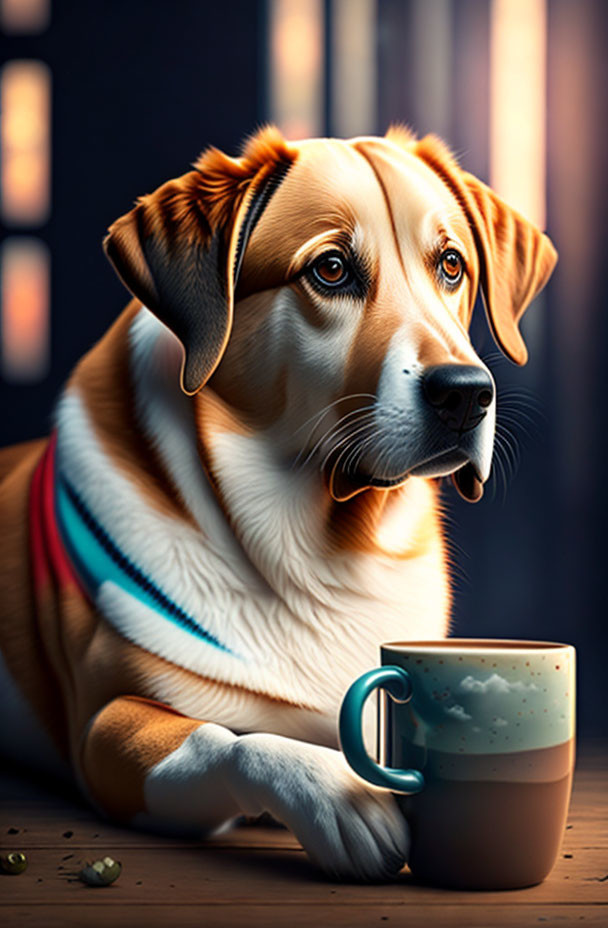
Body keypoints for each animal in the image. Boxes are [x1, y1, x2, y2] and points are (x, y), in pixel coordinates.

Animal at [0, 129, 560, 876]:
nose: (465, 394)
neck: (322, 552)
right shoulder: (105, 732)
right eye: (331, 269)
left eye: (451, 265)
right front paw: (339, 797)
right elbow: (228, 738)